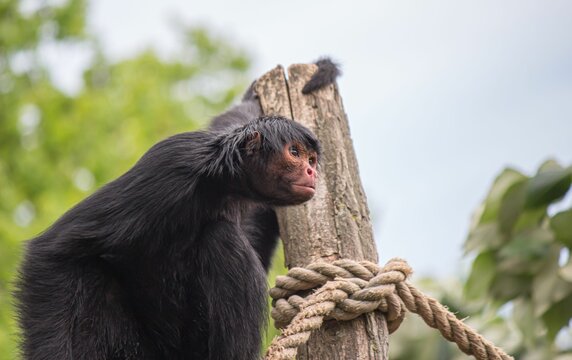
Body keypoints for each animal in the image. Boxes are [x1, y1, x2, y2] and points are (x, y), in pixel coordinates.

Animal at [16, 57, 340, 358]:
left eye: (312, 159)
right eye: (295, 152)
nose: (311, 171)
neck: (218, 182)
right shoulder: (172, 168)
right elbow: (53, 249)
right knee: (220, 238)